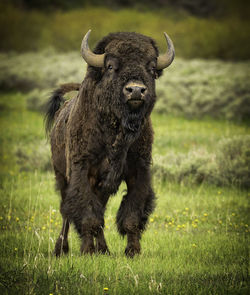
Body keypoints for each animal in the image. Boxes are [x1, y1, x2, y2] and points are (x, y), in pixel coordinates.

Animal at [45, 28, 174, 258]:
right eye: (111, 66)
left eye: (151, 68)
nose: (136, 90)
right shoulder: (82, 170)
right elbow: (88, 213)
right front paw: (87, 251)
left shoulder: (137, 171)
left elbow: (131, 214)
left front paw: (132, 251)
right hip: (61, 176)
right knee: (66, 212)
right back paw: (62, 248)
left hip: (100, 186)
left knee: (99, 210)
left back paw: (103, 249)